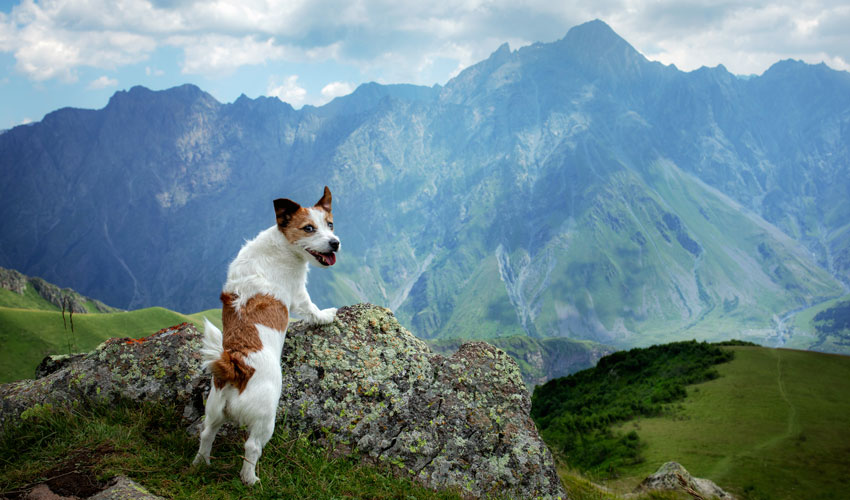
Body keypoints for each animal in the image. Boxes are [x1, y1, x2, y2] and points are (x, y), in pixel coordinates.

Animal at [192, 187, 338, 484]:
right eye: (308, 228)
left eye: (330, 224)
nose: (336, 243)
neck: (282, 243)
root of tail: (237, 366)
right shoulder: (298, 294)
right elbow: (312, 309)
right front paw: (327, 315)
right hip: (265, 418)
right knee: (252, 446)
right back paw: (250, 479)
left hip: (213, 408)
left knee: (207, 433)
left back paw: (201, 463)